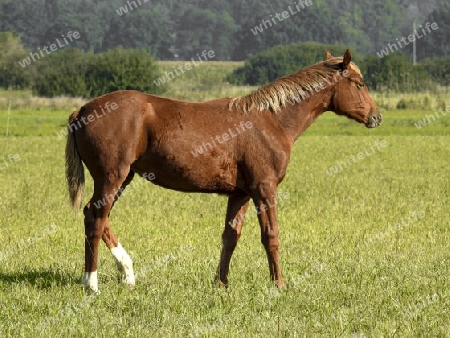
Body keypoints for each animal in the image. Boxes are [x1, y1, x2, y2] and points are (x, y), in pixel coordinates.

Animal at [66, 48, 384, 292]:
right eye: (359, 83)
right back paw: (91, 283)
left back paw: (127, 274)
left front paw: (221, 283)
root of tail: (83, 110)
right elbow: (271, 235)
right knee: (96, 218)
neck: (271, 120)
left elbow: (230, 237)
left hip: (123, 178)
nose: (376, 117)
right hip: (112, 177)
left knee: (97, 216)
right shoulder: (264, 189)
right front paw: (279, 284)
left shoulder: (240, 194)